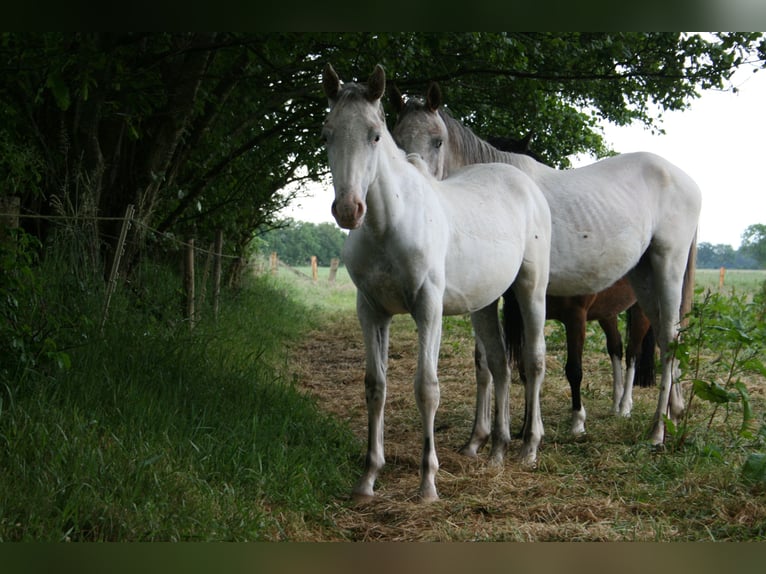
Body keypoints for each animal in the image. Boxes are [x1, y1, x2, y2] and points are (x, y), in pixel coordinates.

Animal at [322, 65, 552, 502]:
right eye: (328, 133)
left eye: (375, 135)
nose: (348, 210)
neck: (389, 224)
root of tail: (523, 181)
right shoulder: (371, 310)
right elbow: (375, 386)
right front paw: (368, 478)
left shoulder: (428, 308)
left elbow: (427, 389)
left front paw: (427, 483)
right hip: (485, 303)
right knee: (499, 363)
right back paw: (497, 449)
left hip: (531, 289)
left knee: (532, 360)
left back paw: (530, 447)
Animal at [392, 83, 704, 448]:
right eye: (395, 138)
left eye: (437, 140)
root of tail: (686, 181)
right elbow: (485, 361)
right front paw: (479, 438)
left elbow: (525, 361)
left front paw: (527, 431)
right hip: (643, 278)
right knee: (669, 338)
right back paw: (673, 414)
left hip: (668, 265)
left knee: (667, 337)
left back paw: (656, 432)